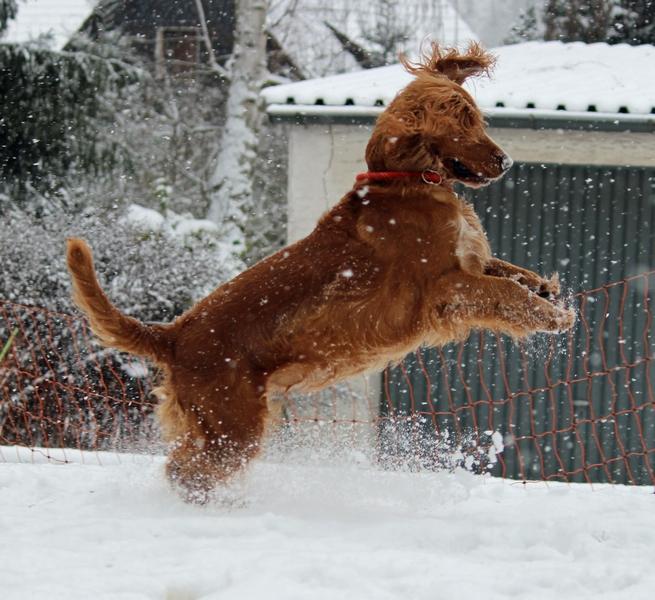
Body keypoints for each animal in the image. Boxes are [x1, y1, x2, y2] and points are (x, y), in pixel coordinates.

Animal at [66, 42, 576, 502]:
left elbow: (511, 273)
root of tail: (173, 334)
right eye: (463, 121)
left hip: (220, 423)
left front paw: (550, 291)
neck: (407, 183)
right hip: (232, 424)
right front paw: (554, 317)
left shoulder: (469, 262)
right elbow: (503, 292)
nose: (505, 161)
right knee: (185, 472)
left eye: (477, 117)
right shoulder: (444, 286)